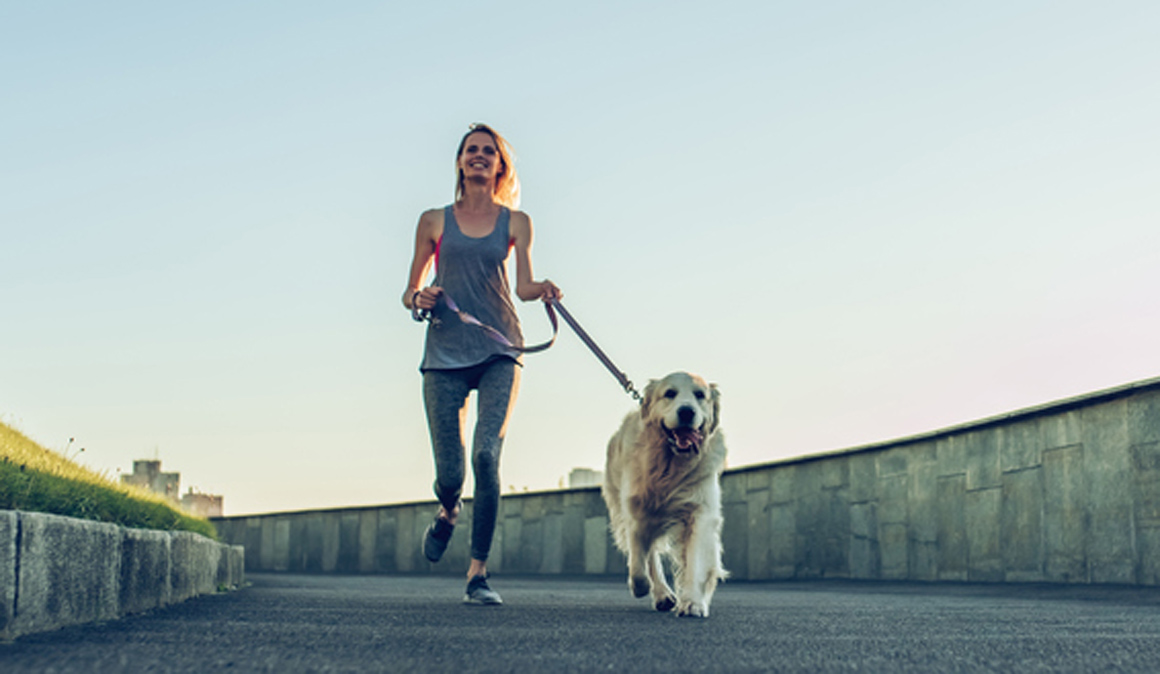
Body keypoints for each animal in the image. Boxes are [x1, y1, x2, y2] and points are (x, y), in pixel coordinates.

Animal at [603, 371, 728, 617]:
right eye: (670, 393)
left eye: (700, 395)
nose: (687, 411)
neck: (669, 465)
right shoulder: (635, 509)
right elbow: (638, 561)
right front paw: (640, 585)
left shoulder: (700, 512)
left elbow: (696, 561)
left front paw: (693, 603)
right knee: (648, 556)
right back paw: (661, 593)